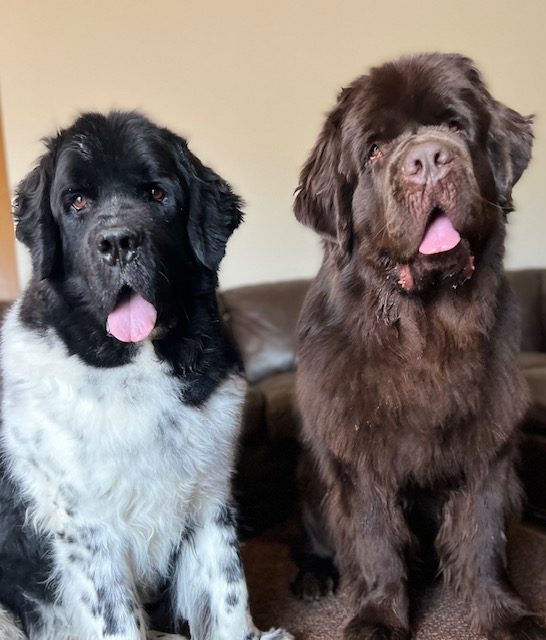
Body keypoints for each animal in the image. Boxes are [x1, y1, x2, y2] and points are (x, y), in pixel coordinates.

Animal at [0, 112, 292, 640]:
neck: (135, 366)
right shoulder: (88, 531)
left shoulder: (209, 497)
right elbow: (119, 618)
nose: (118, 242)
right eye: (76, 201)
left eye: (157, 194)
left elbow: (229, 593)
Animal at [292, 53, 540, 640]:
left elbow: (483, 535)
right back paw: (315, 577)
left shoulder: (489, 444)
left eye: (454, 127)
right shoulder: (358, 455)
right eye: (375, 150)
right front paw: (378, 617)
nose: (428, 158)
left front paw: (503, 615)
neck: (423, 329)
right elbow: (374, 539)